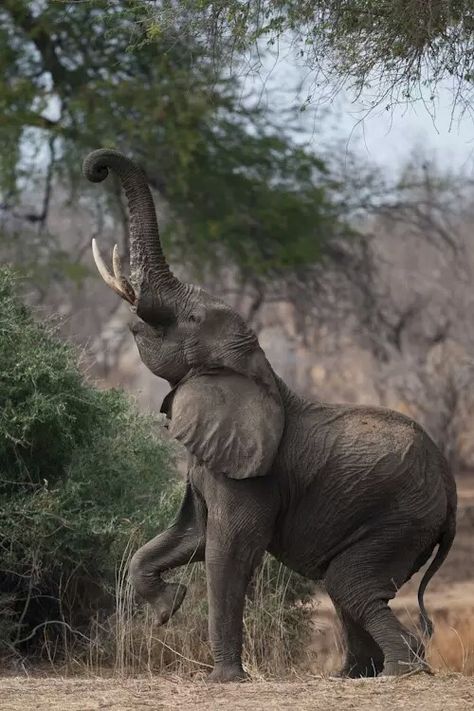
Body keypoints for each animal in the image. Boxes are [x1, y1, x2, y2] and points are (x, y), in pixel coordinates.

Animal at [83, 149, 458, 684]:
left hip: (401, 517)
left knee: (352, 585)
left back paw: (398, 673)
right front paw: (167, 608)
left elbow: (228, 550)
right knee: (350, 591)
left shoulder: (253, 478)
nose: (95, 168)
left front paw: (223, 680)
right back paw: (355, 675)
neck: (255, 368)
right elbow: (188, 536)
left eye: (192, 320)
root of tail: (450, 489)